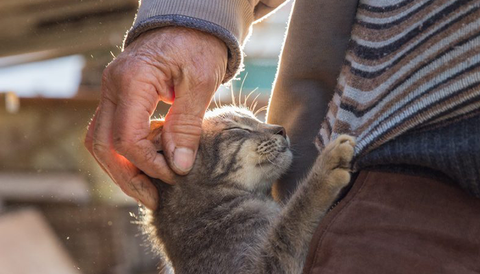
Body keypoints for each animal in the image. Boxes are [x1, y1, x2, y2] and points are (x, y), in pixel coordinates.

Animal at [144, 106, 354, 274]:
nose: (282, 129)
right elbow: (293, 219)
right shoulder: (255, 268)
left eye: (256, 119)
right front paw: (326, 167)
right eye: (237, 128)